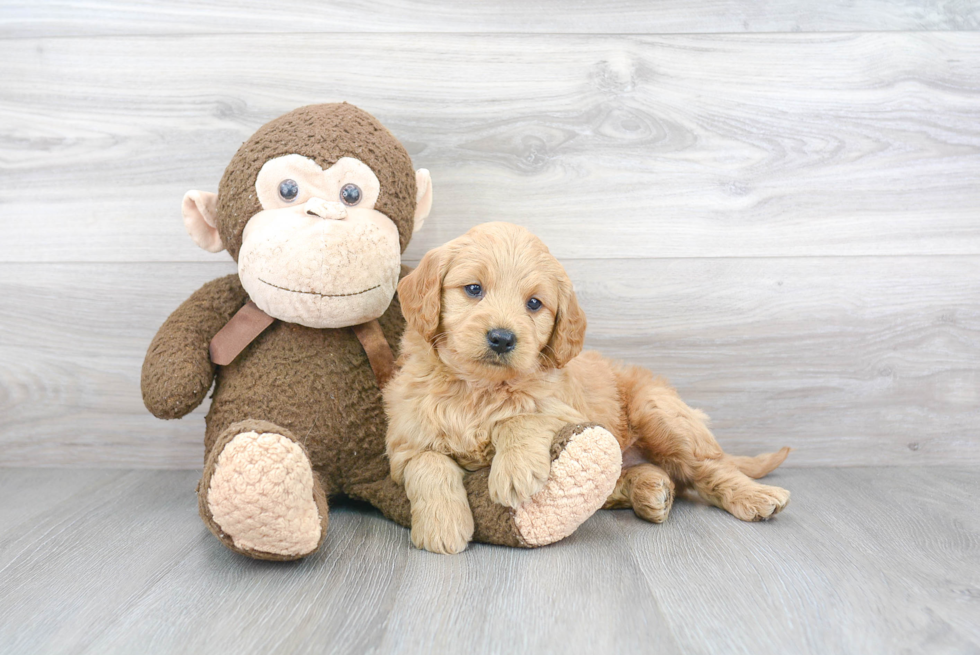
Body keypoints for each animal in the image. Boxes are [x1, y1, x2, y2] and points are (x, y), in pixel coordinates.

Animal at [386, 224, 792, 552]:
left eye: (534, 303)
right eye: (473, 289)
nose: (502, 338)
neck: (478, 389)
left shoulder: (564, 411)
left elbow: (521, 417)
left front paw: (515, 470)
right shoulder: (406, 439)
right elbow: (428, 464)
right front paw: (443, 528)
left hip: (659, 412)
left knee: (711, 468)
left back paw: (755, 496)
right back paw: (651, 489)